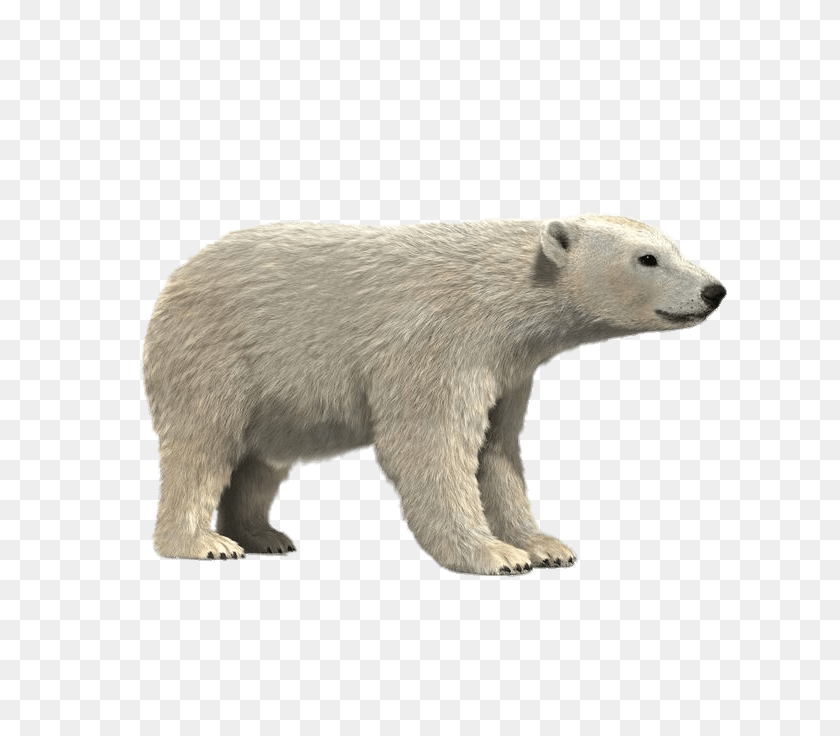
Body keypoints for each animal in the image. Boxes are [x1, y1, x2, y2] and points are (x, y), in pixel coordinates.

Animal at [143, 216, 726, 575]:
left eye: (675, 247)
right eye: (648, 258)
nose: (714, 290)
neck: (499, 295)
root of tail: (173, 282)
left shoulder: (508, 370)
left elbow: (496, 452)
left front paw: (543, 546)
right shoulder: (438, 342)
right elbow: (432, 446)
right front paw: (494, 555)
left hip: (278, 400)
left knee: (261, 461)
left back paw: (263, 535)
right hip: (216, 356)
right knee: (203, 446)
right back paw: (204, 544)